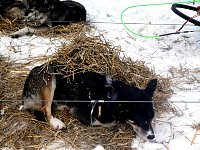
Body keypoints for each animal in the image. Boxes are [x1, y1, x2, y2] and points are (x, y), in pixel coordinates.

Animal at [21, 63, 157, 140]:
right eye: (141, 120)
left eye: (151, 119)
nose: (152, 136)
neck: (109, 95)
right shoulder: (85, 115)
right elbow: (110, 122)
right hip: (49, 78)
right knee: (46, 110)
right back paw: (56, 122)